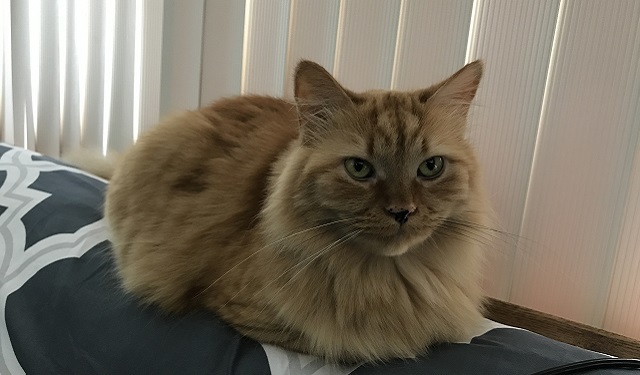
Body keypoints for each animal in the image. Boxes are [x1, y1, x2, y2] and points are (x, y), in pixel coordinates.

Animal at [101, 61, 490, 364]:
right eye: (359, 169)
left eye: (431, 167)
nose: (402, 212)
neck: (384, 278)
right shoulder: (242, 310)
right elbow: (358, 344)